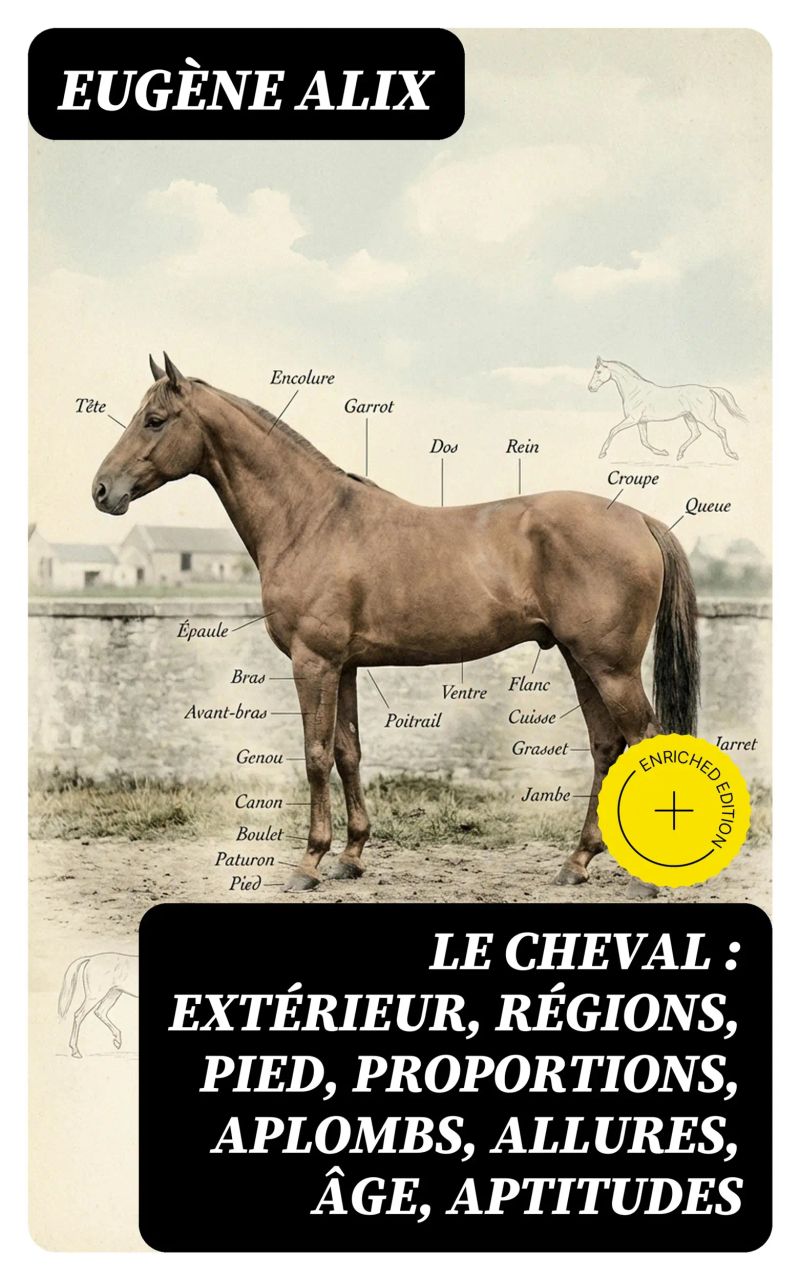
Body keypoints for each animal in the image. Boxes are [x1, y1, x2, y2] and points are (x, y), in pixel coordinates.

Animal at [92, 354, 700, 893]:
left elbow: (315, 757)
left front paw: (308, 864)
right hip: (582, 659)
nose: (102, 490)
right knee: (605, 746)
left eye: (154, 419)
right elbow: (348, 752)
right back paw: (576, 863)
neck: (310, 519)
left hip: (610, 666)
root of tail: (638, 518)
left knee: (643, 740)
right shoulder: (344, 666)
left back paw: (645, 879)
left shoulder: (313, 662)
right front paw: (350, 856)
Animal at [589, 358, 746, 462]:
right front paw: (662, 452)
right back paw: (679, 454)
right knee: (696, 433)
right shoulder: (641, 421)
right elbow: (644, 440)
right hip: (689, 417)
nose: (590, 388)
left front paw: (602, 453)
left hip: (705, 418)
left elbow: (613, 430)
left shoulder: (632, 419)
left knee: (721, 431)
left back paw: (732, 455)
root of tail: (708, 389)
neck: (634, 390)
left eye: (599, 371)